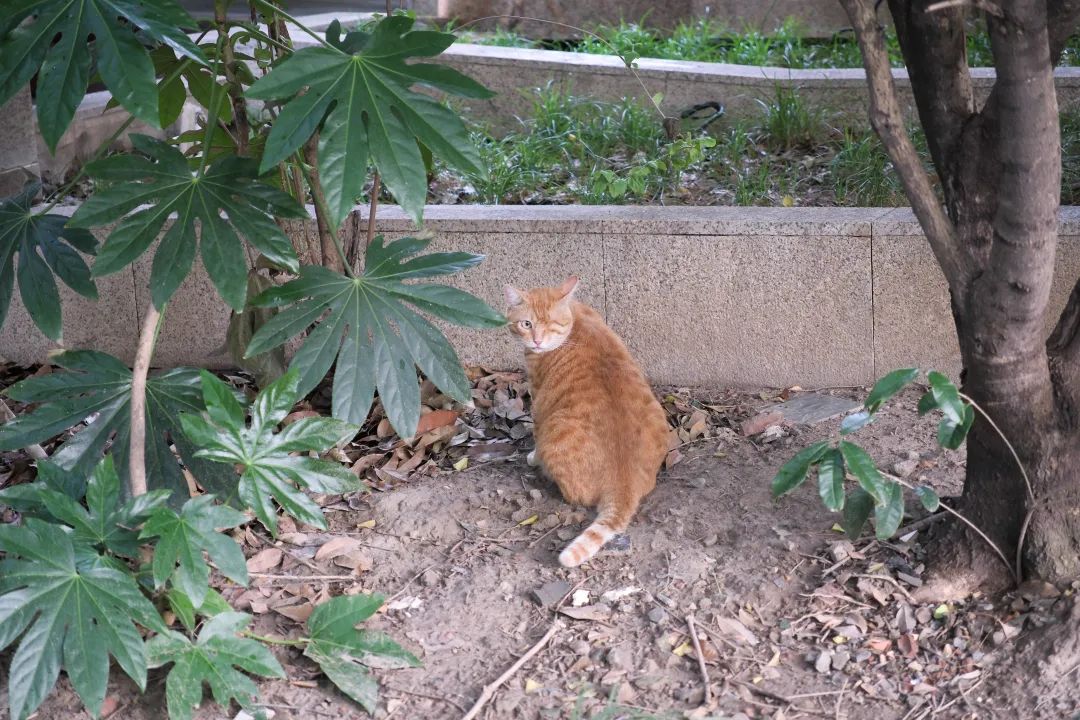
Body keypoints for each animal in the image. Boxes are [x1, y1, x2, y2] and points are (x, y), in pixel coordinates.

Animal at [503, 278, 665, 565]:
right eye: (527, 324)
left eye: (549, 324)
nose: (537, 341)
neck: (575, 319)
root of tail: (625, 485)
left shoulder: (537, 395)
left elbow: (535, 433)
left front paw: (533, 456)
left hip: (556, 434)